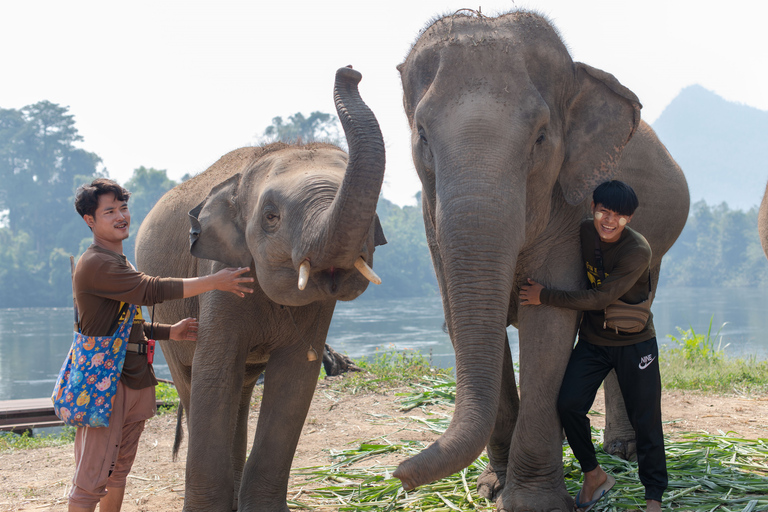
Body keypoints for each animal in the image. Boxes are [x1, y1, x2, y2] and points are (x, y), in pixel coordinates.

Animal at [136, 68, 388, 512]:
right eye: (271, 216)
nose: (351, 72)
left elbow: (295, 381)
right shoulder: (219, 273)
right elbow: (213, 374)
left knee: (240, 391)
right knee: (192, 384)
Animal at [390, 11, 688, 512]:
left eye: (541, 138)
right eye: (423, 137)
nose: (399, 474)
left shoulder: (569, 207)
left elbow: (549, 325)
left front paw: (533, 504)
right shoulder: (434, 226)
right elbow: (460, 317)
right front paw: (493, 488)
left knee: (629, 316)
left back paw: (621, 452)